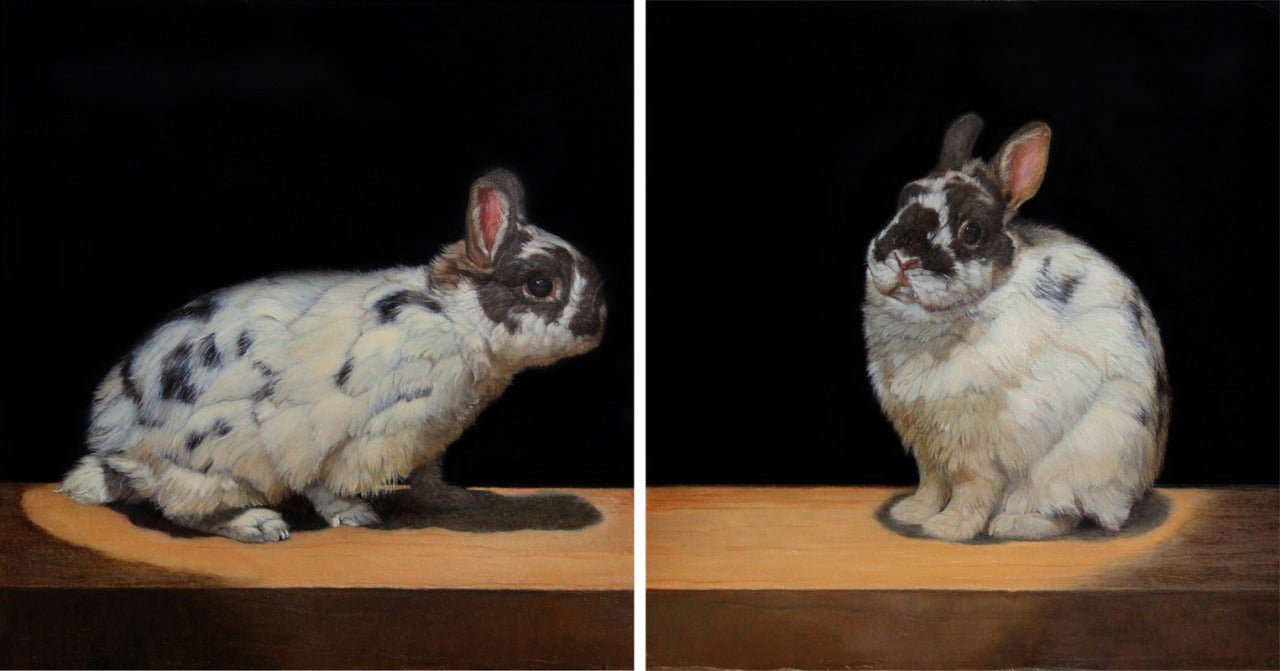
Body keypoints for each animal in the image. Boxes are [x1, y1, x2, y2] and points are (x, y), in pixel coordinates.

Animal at [59, 168, 606, 542]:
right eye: (540, 285)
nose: (597, 324)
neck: (455, 318)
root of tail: (115, 445)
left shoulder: (429, 436)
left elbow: (427, 477)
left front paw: (455, 500)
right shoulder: (344, 436)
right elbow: (323, 482)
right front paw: (357, 515)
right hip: (213, 463)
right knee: (185, 510)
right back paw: (259, 525)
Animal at [862, 113, 1169, 541]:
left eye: (972, 231)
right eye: (902, 200)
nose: (902, 259)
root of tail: (1142, 477)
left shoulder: (976, 448)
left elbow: (972, 490)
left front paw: (947, 528)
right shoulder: (928, 444)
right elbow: (932, 483)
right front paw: (912, 513)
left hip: (1073, 463)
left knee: (1070, 513)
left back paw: (1012, 524)